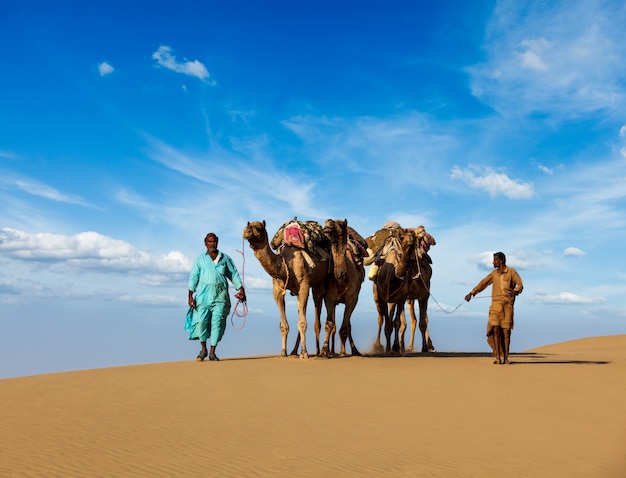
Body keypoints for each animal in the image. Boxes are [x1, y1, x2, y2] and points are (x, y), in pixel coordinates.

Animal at [240, 220, 326, 358]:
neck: (286, 264)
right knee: (302, 310)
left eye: (259, 227)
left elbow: (302, 323)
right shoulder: (277, 290)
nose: (246, 231)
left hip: (321, 283)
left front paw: (304, 353)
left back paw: (321, 352)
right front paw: (283, 352)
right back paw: (295, 351)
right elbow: (284, 325)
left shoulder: (304, 284)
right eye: (248, 224)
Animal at [322, 218, 366, 356]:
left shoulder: (352, 300)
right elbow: (329, 324)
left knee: (347, 325)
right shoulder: (329, 298)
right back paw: (334, 352)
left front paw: (343, 353)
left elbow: (344, 328)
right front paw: (324, 351)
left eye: (340, 224)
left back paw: (352, 351)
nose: (328, 222)